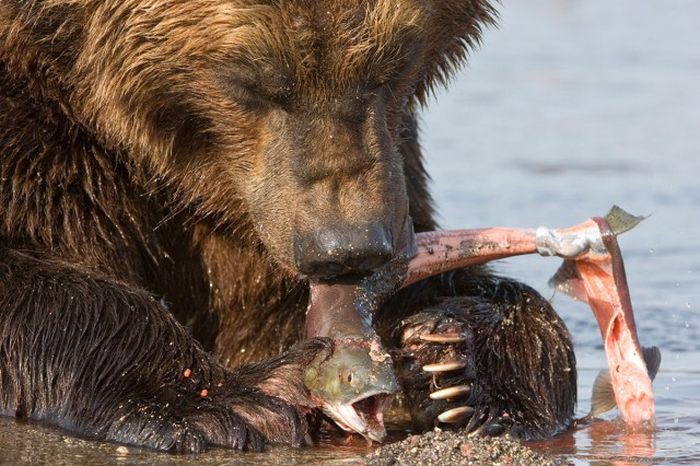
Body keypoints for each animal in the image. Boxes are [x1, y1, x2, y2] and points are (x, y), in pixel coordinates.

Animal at [0, 0, 576, 454]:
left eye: (391, 66)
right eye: (249, 81)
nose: (346, 248)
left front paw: (459, 365)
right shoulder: (46, 154)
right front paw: (236, 399)